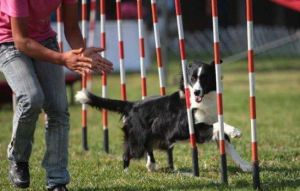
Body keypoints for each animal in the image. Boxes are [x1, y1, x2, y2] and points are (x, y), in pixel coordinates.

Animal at [75, 60, 251, 172]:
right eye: (192, 79)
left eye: (204, 78)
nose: (196, 92)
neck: (201, 102)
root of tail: (132, 105)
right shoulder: (185, 128)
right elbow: (212, 126)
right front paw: (235, 131)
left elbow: (228, 145)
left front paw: (246, 166)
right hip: (137, 139)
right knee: (128, 153)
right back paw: (126, 173)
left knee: (148, 147)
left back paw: (151, 165)